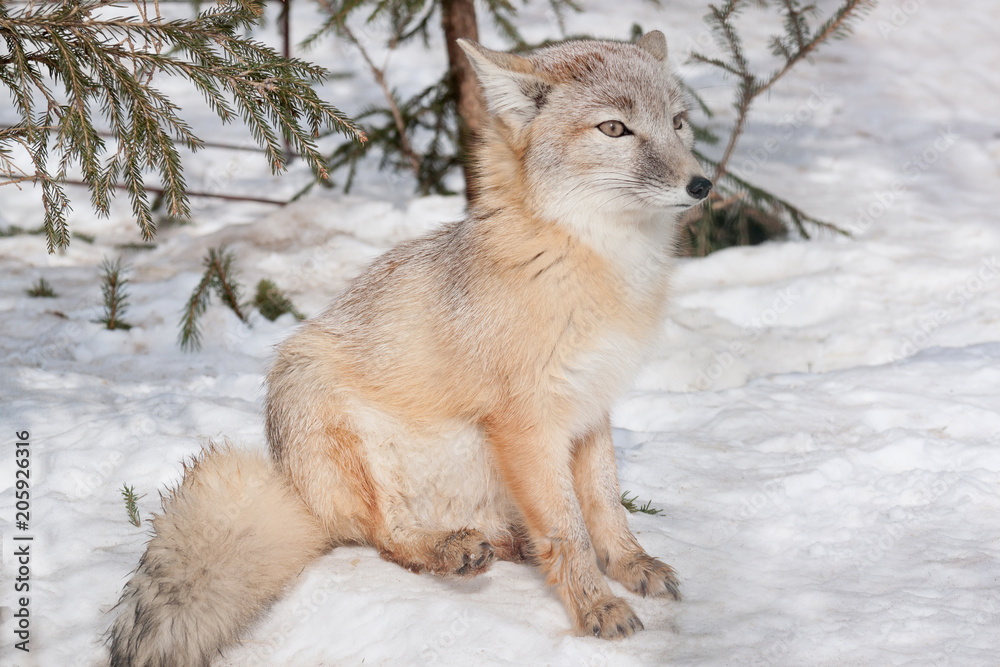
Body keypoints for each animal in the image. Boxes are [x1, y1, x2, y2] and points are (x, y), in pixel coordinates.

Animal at [108, 30, 711, 666]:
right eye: (615, 129)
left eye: (679, 122)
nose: (703, 185)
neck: (591, 266)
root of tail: (296, 496)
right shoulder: (529, 424)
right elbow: (568, 532)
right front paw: (596, 605)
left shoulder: (591, 408)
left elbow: (606, 506)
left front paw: (631, 564)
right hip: (317, 393)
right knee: (386, 539)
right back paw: (448, 550)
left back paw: (497, 543)